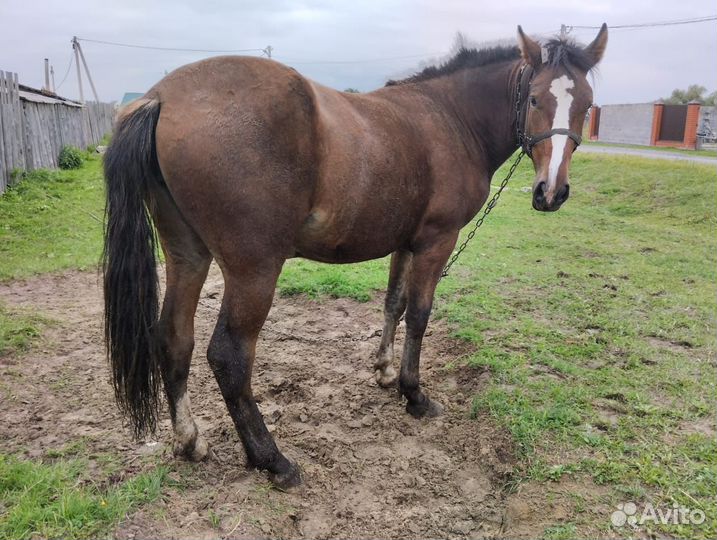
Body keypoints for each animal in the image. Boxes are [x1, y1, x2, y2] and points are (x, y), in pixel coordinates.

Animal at [103, 25, 608, 488]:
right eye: (536, 99)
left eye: (586, 104)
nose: (551, 192)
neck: (449, 117)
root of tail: (161, 98)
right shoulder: (436, 242)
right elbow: (419, 315)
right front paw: (413, 394)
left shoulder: (406, 243)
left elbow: (394, 304)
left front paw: (384, 371)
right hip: (254, 270)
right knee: (229, 356)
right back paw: (273, 460)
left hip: (188, 255)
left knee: (173, 338)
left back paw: (189, 440)